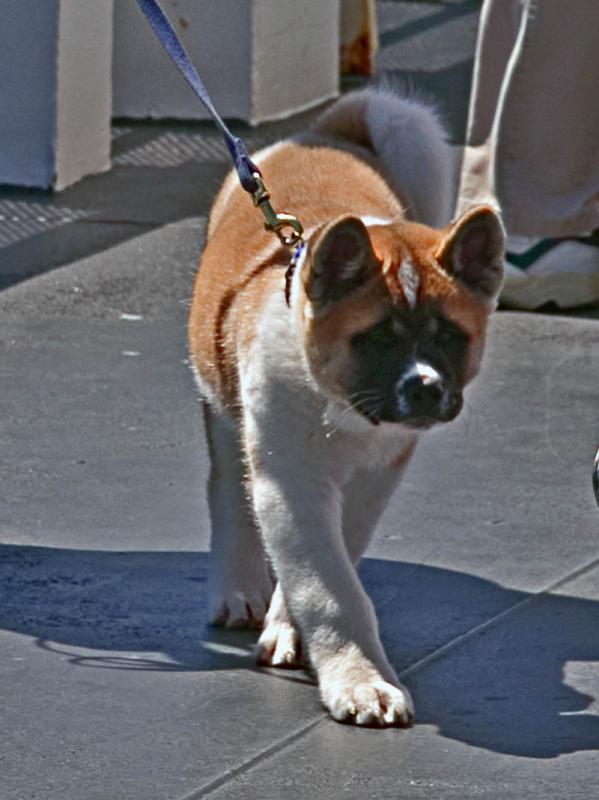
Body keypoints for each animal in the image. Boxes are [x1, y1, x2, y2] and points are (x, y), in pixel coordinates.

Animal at [189, 87, 506, 724]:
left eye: (449, 336)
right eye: (378, 338)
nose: (426, 388)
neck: (338, 404)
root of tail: (325, 134)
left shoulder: (372, 480)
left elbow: (333, 564)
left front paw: (293, 629)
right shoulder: (289, 481)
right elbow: (328, 587)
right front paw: (361, 680)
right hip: (221, 402)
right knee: (229, 492)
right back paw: (236, 588)